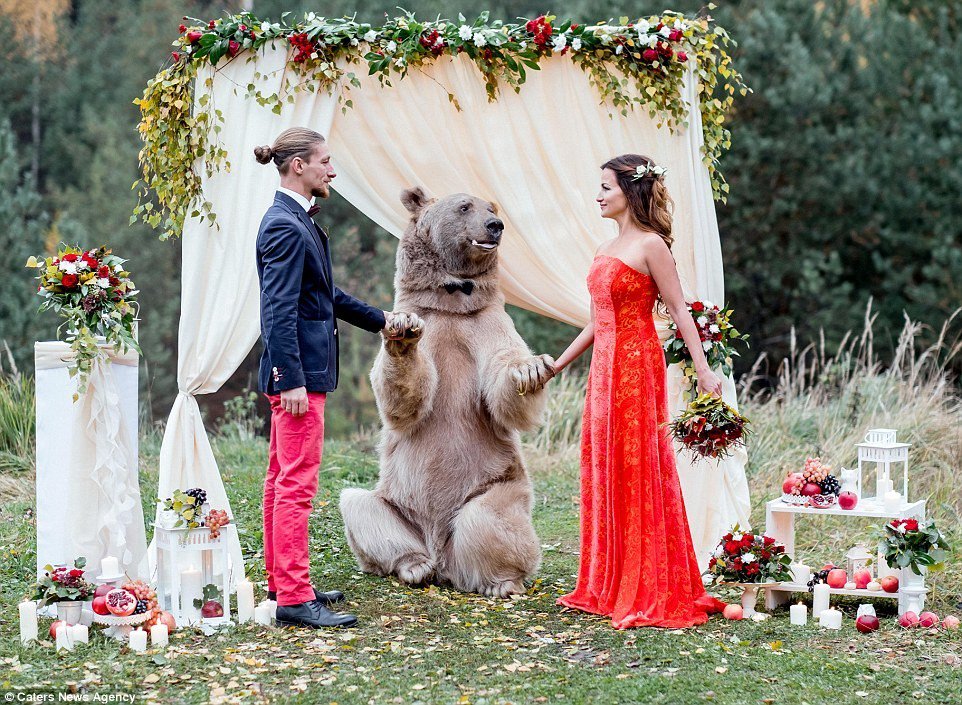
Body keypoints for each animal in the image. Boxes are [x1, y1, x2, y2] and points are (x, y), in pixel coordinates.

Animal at [338, 186, 552, 592]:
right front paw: (402, 339)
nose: (495, 225)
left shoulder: (488, 323)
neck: (452, 300)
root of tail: (444, 559)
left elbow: (502, 384)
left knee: (491, 519)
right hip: (395, 501)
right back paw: (413, 566)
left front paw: (529, 369)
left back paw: (500, 580)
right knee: (360, 507)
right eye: (464, 206)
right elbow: (403, 400)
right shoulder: (427, 320)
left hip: (496, 482)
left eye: (492, 207)